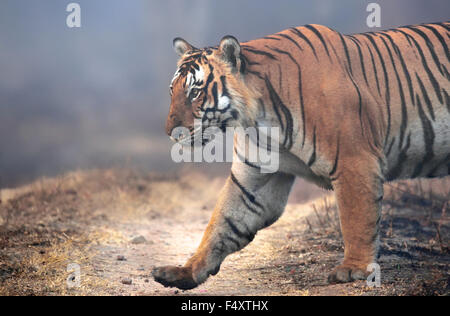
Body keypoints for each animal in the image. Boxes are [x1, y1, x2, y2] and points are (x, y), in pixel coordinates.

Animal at [152, 21, 450, 288]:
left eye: (195, 92)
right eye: (172, 91)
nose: (170, 133)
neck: (259, 118)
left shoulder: (356, 161)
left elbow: (357, 219)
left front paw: (353, 269)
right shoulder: (257, 178)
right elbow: (221, 223)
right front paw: (186, 272)